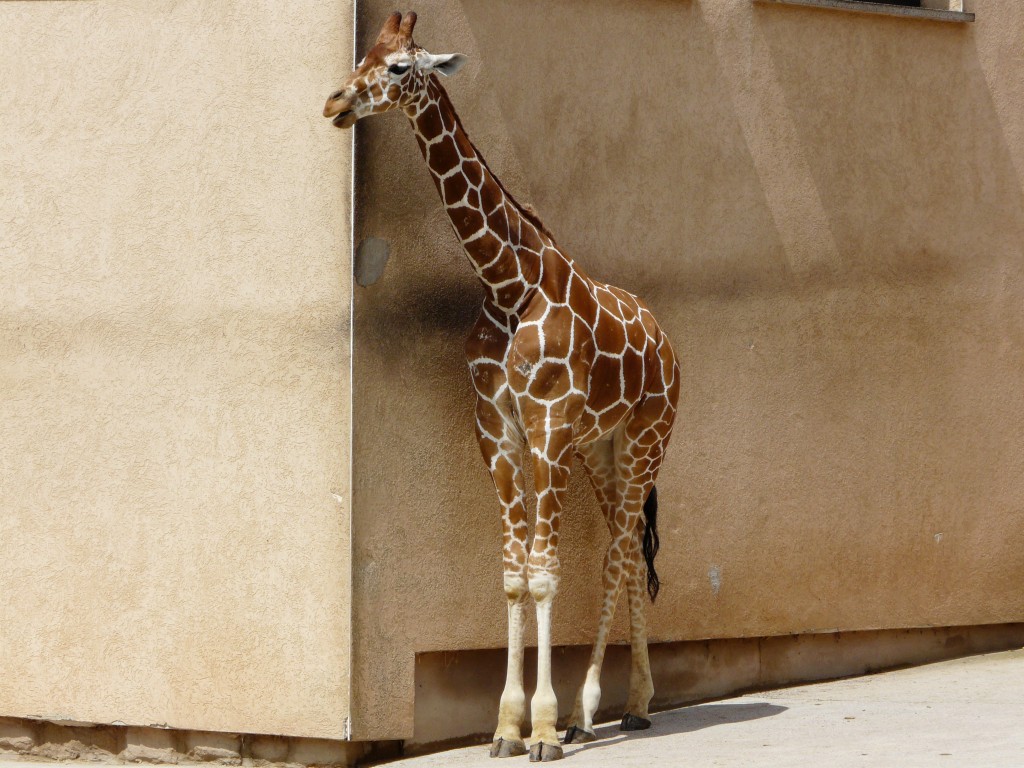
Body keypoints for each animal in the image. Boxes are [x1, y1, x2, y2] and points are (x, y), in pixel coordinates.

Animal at [327, 12, 679, 765]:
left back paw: (596, 710)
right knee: (623, 549)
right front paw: (506, 726)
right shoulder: (498, 431)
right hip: (602, 451)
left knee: (617, 555)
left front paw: (541, 729)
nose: (335, 103)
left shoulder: (547, 426)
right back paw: (623, 708)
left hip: (647, 439)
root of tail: (667, 342)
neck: (506, 283)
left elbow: (545, 572)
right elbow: (514, 574)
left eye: (399, 67)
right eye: (365, 54)